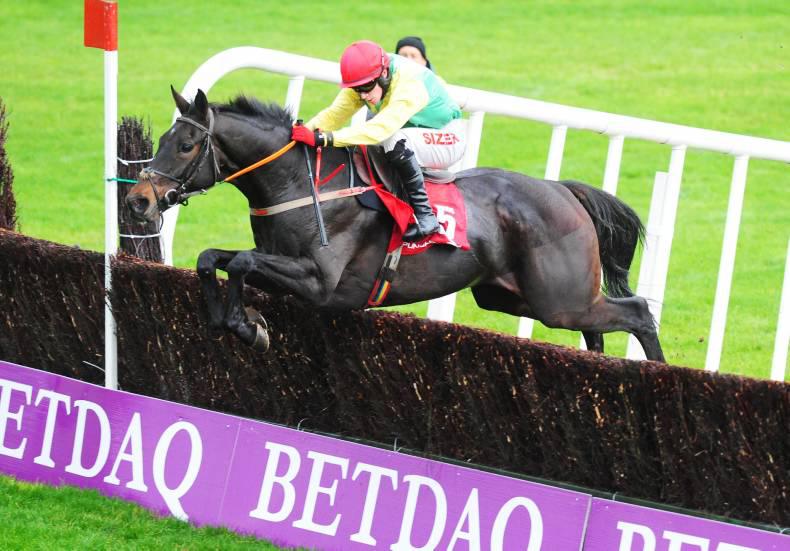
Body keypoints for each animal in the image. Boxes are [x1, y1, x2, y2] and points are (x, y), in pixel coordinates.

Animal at [125, 87, 665, 362]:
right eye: (164, 139)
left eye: (186, 145)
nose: (137, 200)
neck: (300, 183)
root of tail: (563, 190)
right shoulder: (279, 263)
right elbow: (212, 259)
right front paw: (232, 320)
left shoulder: (320, 282)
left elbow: (238, 263)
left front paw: (246, 325)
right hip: (513, 295)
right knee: (597, 328)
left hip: (558, 299)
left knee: (637, 311)